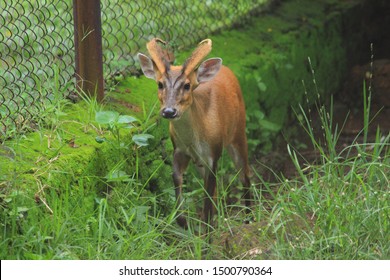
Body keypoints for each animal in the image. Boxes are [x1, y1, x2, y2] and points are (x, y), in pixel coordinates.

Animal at [139, 37, 251, 230]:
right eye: (160, 84)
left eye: (187, 85)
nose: (169, 111)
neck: (195, 139)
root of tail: (227, 69)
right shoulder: (180, 150)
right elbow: (177, 178)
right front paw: (184, 222)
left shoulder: (214, 154)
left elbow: (208, 196)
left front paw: (206, 234)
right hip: (200, 161)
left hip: (238, 132)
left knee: (245, 175)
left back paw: (249, 218)